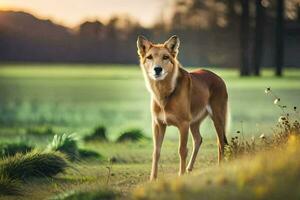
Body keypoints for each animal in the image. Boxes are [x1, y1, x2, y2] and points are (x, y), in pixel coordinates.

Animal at [137, 35, 229, 180]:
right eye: (150, 57)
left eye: (165, 57)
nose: (157, 69)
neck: (165, 93)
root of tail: (218, 77)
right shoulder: (158, 124)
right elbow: (156, 152)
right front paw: (153, 179)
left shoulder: (183, 124)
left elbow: (182, 150)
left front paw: (181, 175)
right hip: (195, 122)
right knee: (198, 139)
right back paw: (189, 168)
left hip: (217, 118)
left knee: (221, 143)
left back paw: (219, 168)